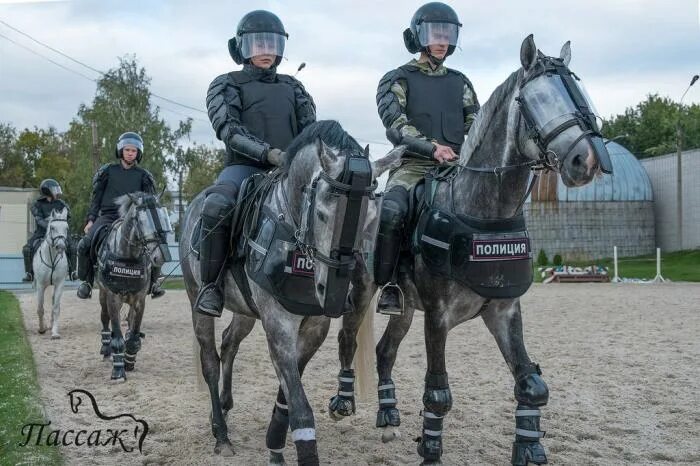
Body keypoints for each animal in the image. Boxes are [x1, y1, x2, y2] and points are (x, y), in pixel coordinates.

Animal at [33, 208, 70, 338]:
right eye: (52, 227)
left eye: (66, 228)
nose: (61, 246)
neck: (52, 259)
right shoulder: (40, 285)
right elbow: (40, 308)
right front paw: (41, 329)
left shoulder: (59, 284)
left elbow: (56, 308)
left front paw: (54, 332)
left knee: (53, 301)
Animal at [95, 192, 172, 382]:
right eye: (141, 220)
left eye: (163, 217)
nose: (161, 256)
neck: (128, 258)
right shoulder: (113, 298)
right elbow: (117, 337)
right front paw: (118, 371)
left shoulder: (139, 301)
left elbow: (134, 334)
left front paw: (129, 360)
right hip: (103, 296)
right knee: (105, 319)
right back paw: (106, 348)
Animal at [178, 121, 402, 466]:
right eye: (321, 212)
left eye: (370, 216)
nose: (335, 295)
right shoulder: (278, 325)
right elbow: (299, 407)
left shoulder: (314, 327)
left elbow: (287, 392)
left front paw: (275, 442)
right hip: (196, 302)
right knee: (210, 361)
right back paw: (221, 434)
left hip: (244, 311)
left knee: (229, 343)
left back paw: (226, 408)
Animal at [330, 36, 608, 466]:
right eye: (537, 99)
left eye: (579, 91)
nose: (587, 160)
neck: (480, 212)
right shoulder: (438, 317)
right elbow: (438, 394)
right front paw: (430, 450)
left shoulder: (503, 311)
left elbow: (531, 384)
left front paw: (529, 447)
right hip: (361, 291)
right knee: (348, 339)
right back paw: (343, 403)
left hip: (404, 307)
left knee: (384, 351)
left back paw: (388, 413)